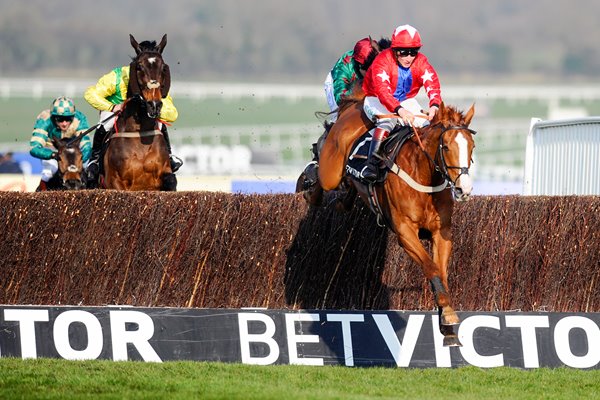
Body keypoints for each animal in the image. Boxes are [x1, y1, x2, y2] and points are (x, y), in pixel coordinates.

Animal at [102, 34, 177, 191]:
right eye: (139, 67)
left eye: (163, 68)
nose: (154, 105)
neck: (139, 133)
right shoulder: (114, 181)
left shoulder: (163, 173)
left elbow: (171, 180)